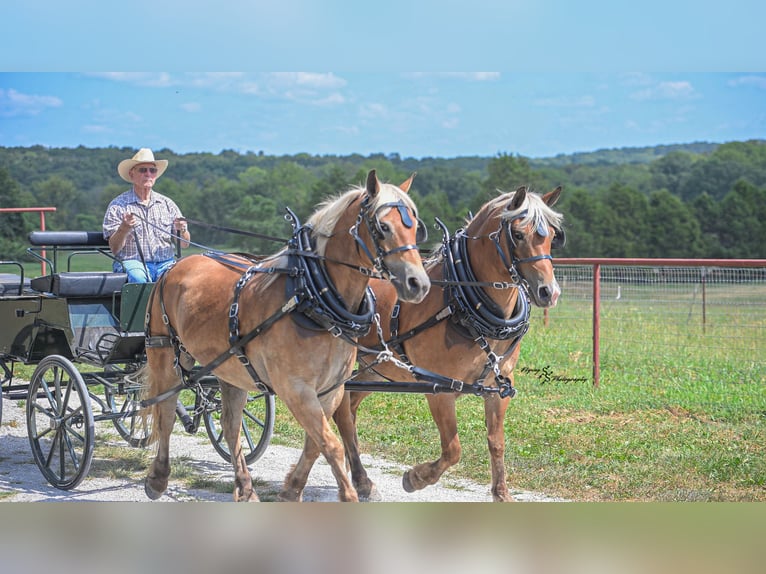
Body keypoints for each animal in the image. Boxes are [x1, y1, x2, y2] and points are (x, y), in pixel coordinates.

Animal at [140, 169, 431, 502]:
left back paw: (245, 487)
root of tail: (177, 265)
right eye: (383, 226)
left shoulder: (330, 390)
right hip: (165, 353)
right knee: (165, 412)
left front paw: (291, 491)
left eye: (415, 228)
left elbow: (316, 444)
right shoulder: (296, 389)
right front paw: (349, 496)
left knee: (230, 424)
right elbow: (330, 445)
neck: (312, 300)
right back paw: (158, 478)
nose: (418, 283)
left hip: (230, 367)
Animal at [329, 185, 565, 502]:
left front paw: (501, 493)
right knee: (342, 409)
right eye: (517, 234)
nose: (549, 291)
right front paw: (415, 478)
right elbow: (453, 450)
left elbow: (496, 442)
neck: (462, 304)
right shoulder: (440, 389)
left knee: (349, 404)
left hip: (377, 368)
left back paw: (359, 477)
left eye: (552, 234)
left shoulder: (499, 385)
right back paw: (362, 479)